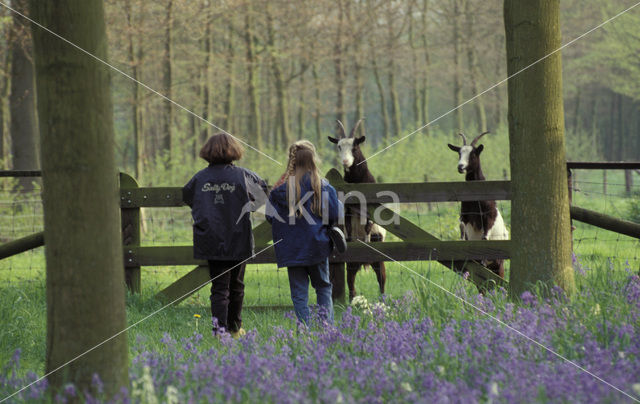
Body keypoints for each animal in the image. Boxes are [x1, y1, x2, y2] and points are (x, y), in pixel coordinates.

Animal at [328, 120, 388, 300]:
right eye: (339, 146)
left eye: (355, 146)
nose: (346, 162)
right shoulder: (347, 211)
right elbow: (347, 224)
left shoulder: (371, 210)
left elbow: (368, 225)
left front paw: (366, 240)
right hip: (353, 262)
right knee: (351, 279)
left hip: (379, 247)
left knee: (381, 276)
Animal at [448, 132, 508, 278]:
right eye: (459, 153)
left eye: (473, 154)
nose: (460, 167)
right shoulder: (465, 215)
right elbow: (462, 226)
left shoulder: (488, 216)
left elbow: (484, 236)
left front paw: (483, 260)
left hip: (499, 265)